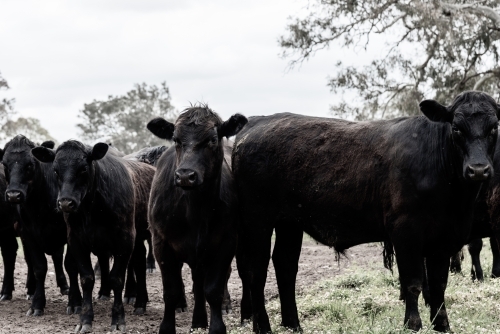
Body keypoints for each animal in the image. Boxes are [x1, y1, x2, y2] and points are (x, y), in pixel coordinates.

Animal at [0, 136, 76, 316]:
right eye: (5, 164)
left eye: (30, 164)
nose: (13, 195)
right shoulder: (28, 234)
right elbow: (39, 267)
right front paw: (37, 304)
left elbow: (70, 264)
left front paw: (74, 302)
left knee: (57, 257)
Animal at [31, 140, 154, 332]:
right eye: (55, 170)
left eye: (83, 168)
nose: (65, 202)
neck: (93, 209)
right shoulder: (76, 242)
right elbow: (87, 279)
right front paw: (85, 319)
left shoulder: (125, 241)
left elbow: (116, 279)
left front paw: (118, 319)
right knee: (139, 261)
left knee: (139, 265)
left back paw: (140, 302)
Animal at [146, 106, 248, 334]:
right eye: (176, 139)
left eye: (212, 139)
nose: (185, 175)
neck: (195, 210)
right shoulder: (161, 243)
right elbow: (171, 291)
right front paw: (167, 328)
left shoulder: (227, 242)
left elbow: (214, 290)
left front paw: (217, 327)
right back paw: (198, 320)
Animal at [232, 90, 500, 332]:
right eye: (456, 128)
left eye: (494, 127)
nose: (478, 169)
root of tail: (255, 122)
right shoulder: (405, 232)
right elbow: (413, 283)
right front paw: (412, 324)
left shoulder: (445, 237)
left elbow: (438, 285)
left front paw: (442, 325)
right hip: (257, 220)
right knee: (256, 269)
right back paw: (263, 326)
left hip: (289, 222)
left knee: (285, 265)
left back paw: (293, 325)